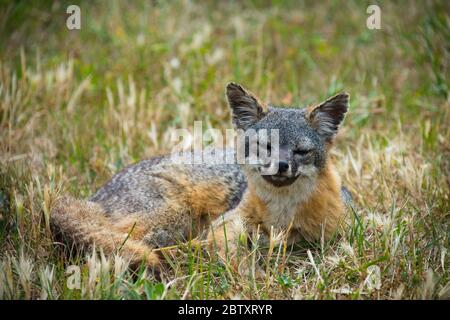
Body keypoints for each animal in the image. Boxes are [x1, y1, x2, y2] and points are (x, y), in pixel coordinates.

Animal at [51, 82, 350, 270]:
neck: (282, 216)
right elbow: (231, 249)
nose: (280, 165)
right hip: (171, 214)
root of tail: (94, 197)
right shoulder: (225, 225)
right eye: (264, 146)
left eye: (301, 151)